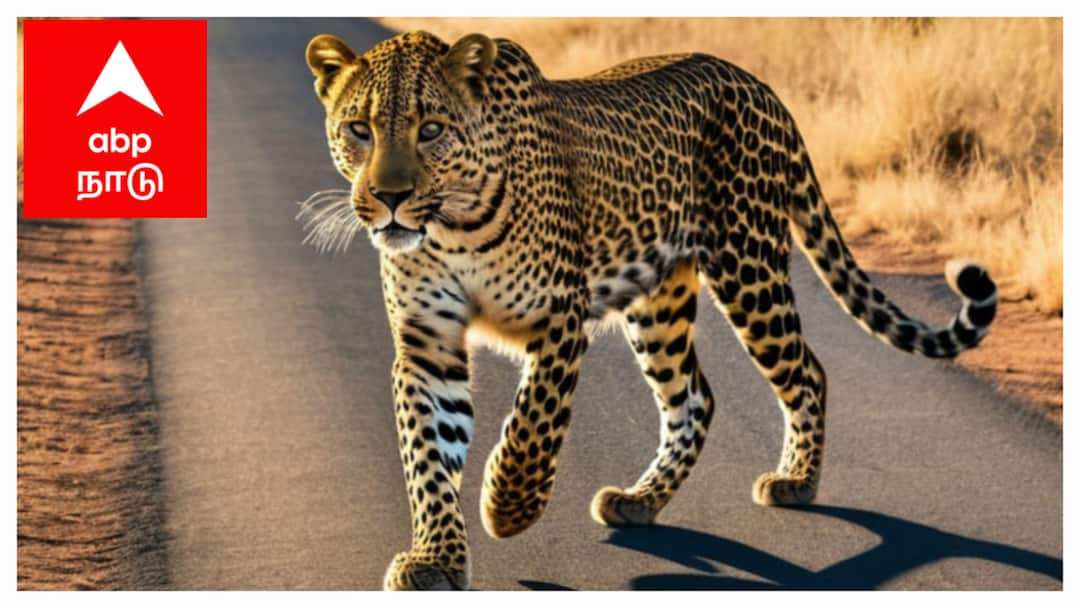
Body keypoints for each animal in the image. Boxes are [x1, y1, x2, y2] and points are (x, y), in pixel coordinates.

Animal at [301, 30, 997, 590]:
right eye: (359, 128)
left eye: (431, 129)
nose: (390, 197)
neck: (452, 226)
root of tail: (759, 84)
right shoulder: (427, 342)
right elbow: (427, 454)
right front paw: (436, 558)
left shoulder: (561, 318)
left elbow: (533, 423)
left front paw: (506, 505)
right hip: (660, 302)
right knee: (696, 398)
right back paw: (641, 500)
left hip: (748, 267)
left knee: (806, 370)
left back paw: (797, 482)